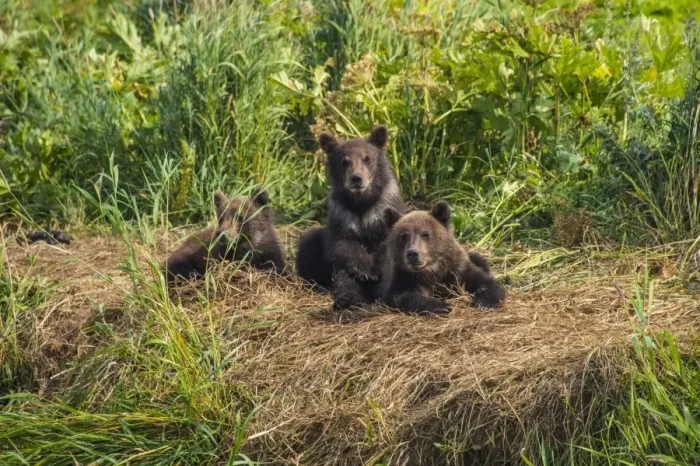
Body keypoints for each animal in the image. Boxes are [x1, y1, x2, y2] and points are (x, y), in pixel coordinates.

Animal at [295, 125, 406, 309]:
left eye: (367, 159)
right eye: (344, 161)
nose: (356, 178)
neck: (361, 204)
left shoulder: (382, 210)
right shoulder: (342, 214)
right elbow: (344, 245)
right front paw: (367, 272)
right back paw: (347, 299)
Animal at [378, 201, 506, 314]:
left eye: (425, 234)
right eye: (403, 236)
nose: (413, 253)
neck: (433, 270)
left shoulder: (456, 269)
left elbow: (486, 282)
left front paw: (485, 302)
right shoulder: (402, 276)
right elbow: (403, 296)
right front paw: (443, 306)